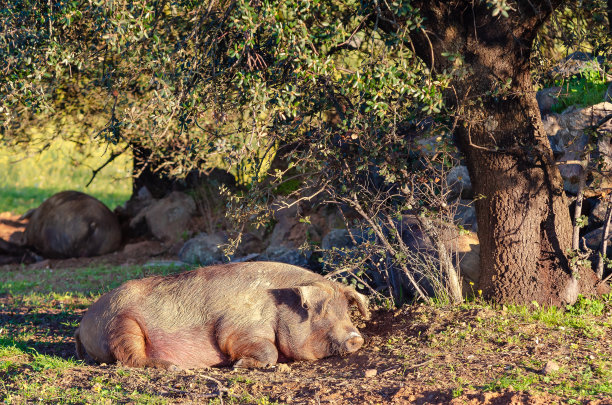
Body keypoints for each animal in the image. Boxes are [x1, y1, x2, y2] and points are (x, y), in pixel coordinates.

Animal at [71, 260, 368, 368]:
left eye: (347, 312)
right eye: (322, 314)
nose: (357, 338)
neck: (278, 308)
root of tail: (84, 322)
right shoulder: (235, 329)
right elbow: (266, 350)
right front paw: (239, 365)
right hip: (120, 324)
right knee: (128, 358)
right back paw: (173, 368)